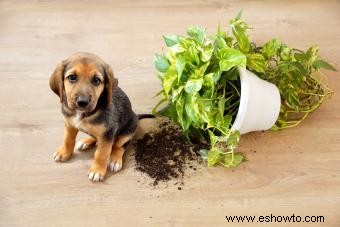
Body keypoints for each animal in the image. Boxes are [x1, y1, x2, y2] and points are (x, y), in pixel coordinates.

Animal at [49, 52, 152, 182]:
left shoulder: (108, 133)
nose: (82, 102)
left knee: (119, 145)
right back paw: (86, 142)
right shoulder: (69, 124)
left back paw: (115, 159)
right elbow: (68, 140)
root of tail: (136, 116)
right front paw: (64, 152)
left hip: (128, 130)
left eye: (96, 80)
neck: (83, 114)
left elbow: (102, 154)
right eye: (72, 77)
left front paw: (97, 171)